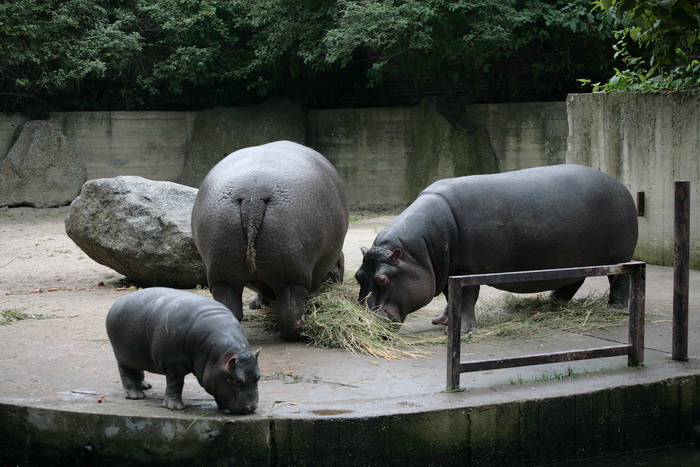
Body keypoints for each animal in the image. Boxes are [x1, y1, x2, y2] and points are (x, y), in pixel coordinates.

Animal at [108, 288, 262, 414]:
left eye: (258, 377)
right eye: (237, 381)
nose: (252, 407)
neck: (218, 357)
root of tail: (117, 302)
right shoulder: (175, 363)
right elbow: (176, 383)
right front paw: (175, 407)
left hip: (136, 354)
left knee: (137, 368)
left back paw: (145, 386)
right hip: (122, 354)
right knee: (125, 373)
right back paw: (136, 395)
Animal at [193, 141, 348, 342]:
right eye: (340, 264)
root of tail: (253, 197)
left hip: (223, 271)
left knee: (230, 308)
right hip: (292, 275)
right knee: (290, 313)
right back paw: (300, 333)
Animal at [358, 165, 636, 332]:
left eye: (382, 279)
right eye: (358, 276)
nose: (364, 320)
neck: (418, 253)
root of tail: (620, 184)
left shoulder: (467, 271)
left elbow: (466, 299)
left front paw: (462, 330)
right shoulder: (448, 272)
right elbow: (451, 297)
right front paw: (442, 321)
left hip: (619, 256)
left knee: (619, 281)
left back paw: (616, 309)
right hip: (576, 259)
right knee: (572, 281)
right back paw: (552, 303)